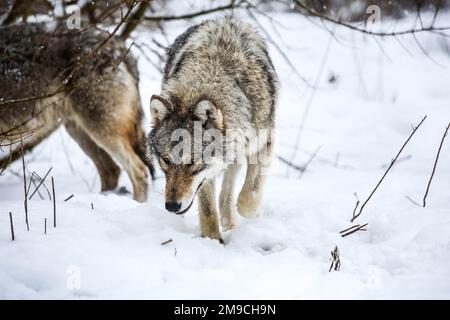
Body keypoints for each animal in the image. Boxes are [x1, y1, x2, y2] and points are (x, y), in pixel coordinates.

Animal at [149, 17, 278, 241]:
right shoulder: (206, 176)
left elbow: (248, 198)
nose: (172, 206)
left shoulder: (264, 142)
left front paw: (251, 213)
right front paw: (212, 240)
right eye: (165, 160)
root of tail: (228, 18)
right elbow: (208, 210)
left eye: (192, 162)